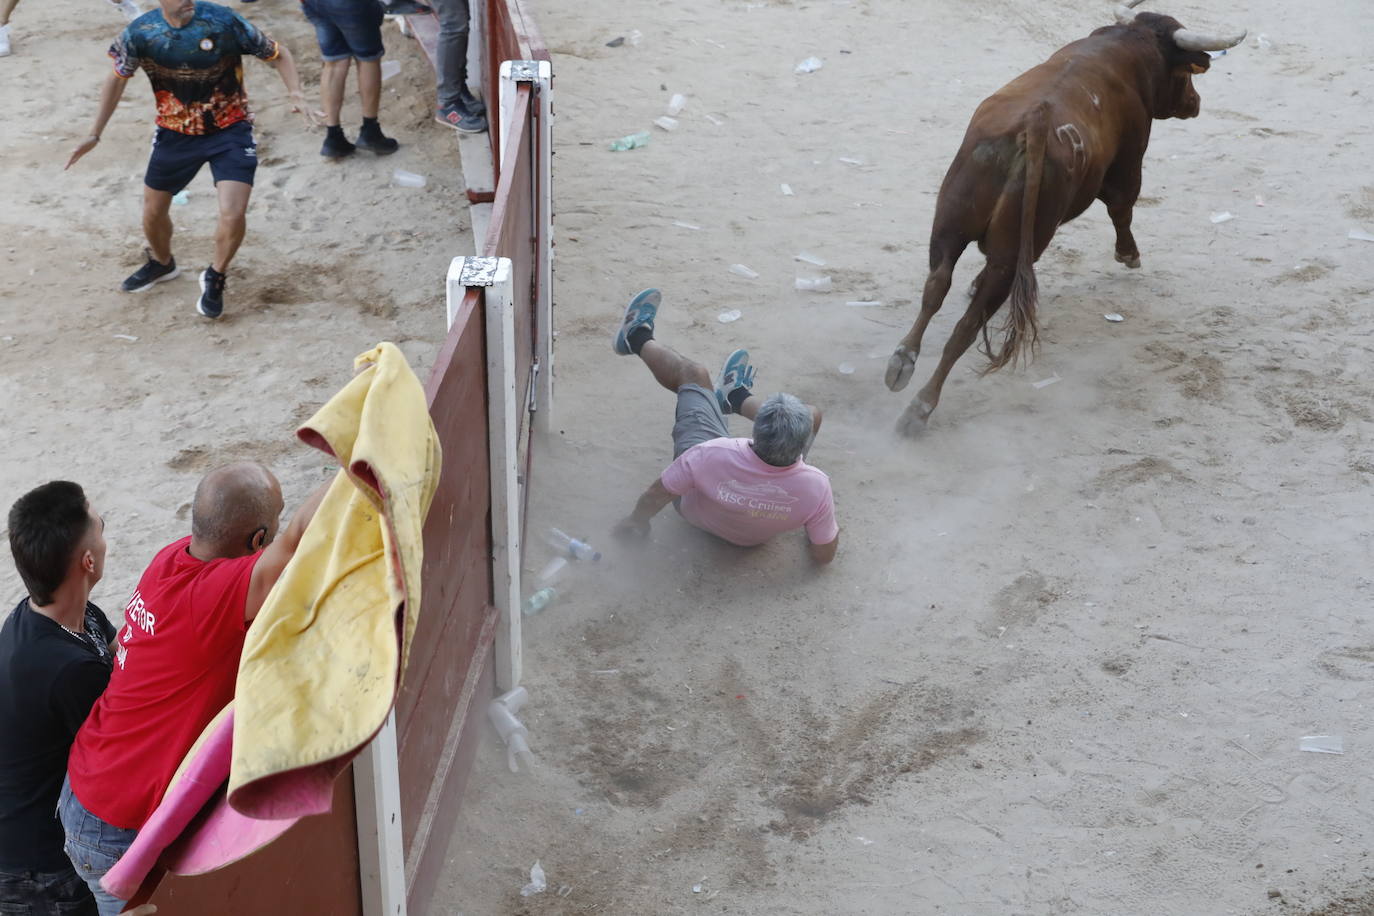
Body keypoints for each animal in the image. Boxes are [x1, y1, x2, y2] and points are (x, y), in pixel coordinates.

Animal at [884, 3, 1253, 433]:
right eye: (1184, 74)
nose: (1194, 102)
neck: (1130, 49)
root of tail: (1032, 124)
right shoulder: (1129, 162)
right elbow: (1122, 209)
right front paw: (1129, 255)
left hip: (949, 223)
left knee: (936, 285)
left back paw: (902, 362)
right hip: (1012, 253)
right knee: (967, 326)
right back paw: (921, 405)